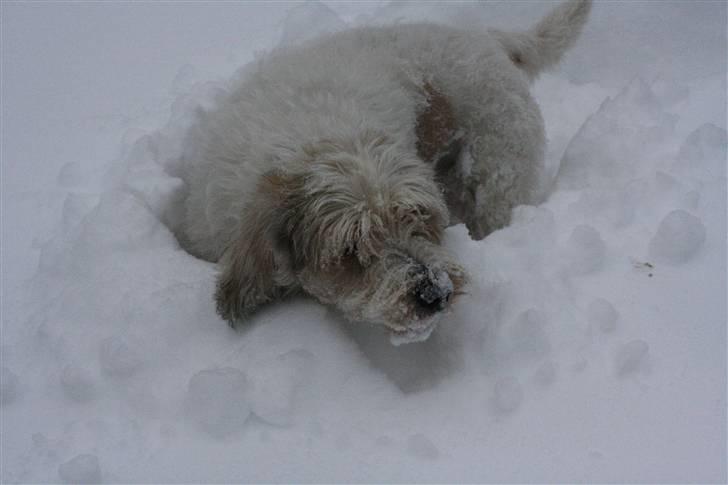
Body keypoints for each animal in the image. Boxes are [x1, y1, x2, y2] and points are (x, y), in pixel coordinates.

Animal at [178, 0, 592, 344]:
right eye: (349, 249)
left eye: (419, 217)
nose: (435, 292)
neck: (310, 141)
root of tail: (485, 37)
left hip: (500, 178)